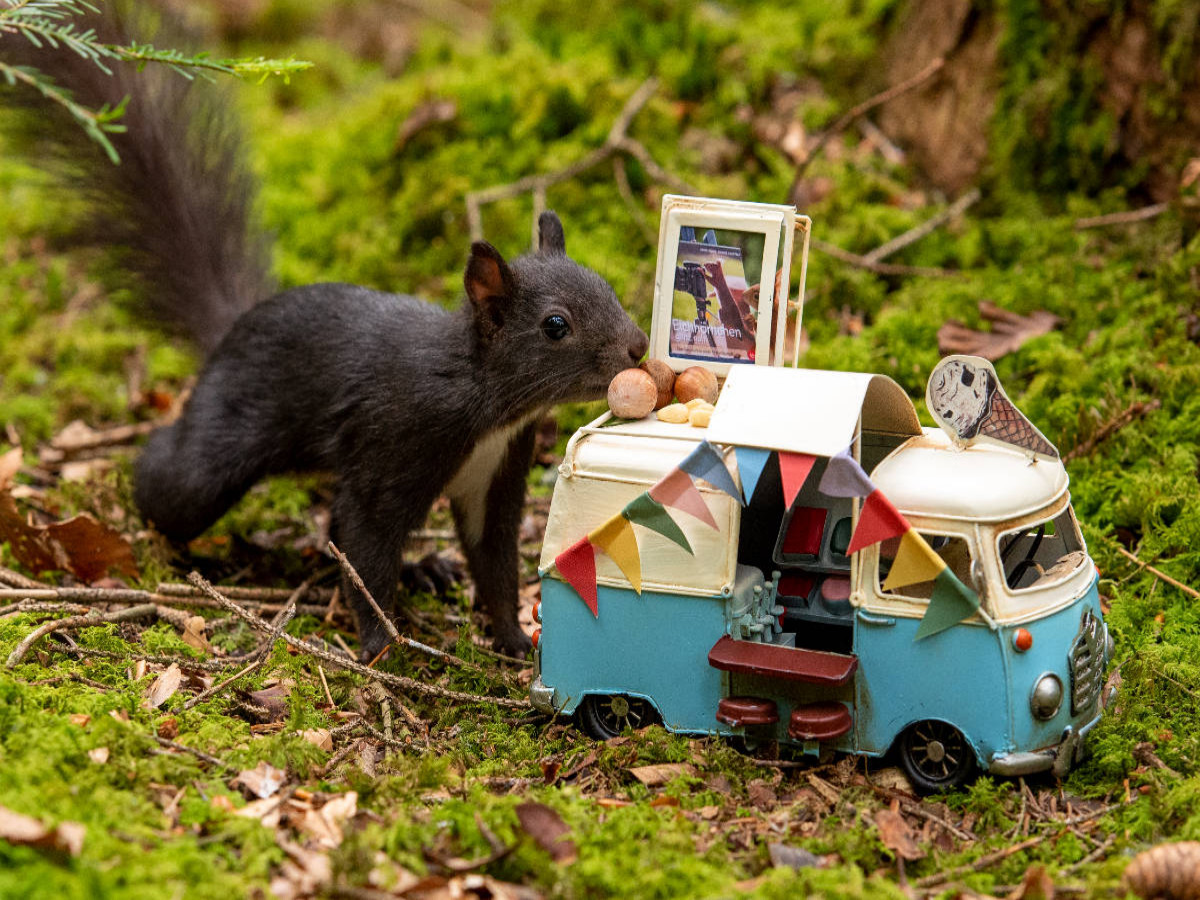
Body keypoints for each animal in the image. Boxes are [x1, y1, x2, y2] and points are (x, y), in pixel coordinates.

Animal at [2, 5, 648, 659]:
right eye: (555, 325)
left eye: (606, 285)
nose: (638, 346)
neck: (482, 396)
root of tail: (234, 327)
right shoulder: (397, 437)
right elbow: (365, 539)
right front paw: (381, 645)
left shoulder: (496, 470)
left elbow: (491, 560)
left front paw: (515, 639)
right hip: (218, 449)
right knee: (174, 479)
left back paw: (424, 570)